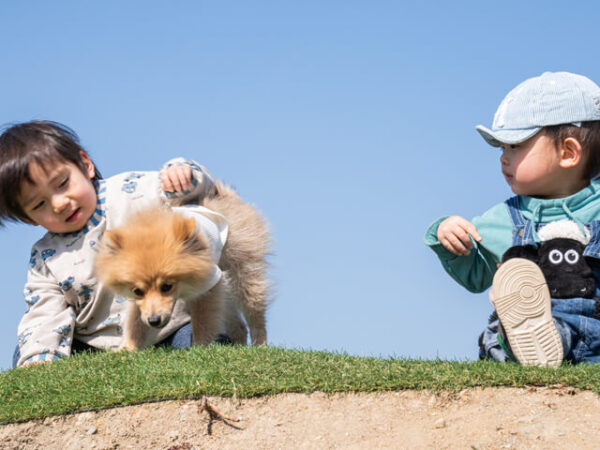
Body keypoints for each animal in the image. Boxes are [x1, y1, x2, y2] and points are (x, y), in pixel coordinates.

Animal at [95, 181, 270, 350]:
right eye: (138, 291)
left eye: (166, 287)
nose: (154, 320)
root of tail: (226, 197)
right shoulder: (138, 301)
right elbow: (135, 322)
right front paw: (128, 348)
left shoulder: (208, 285)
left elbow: (203, 322)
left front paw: (200, 347)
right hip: (226, 287)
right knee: (239, 325)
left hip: (244, 272)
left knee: (254, 313)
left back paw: (260, 345)